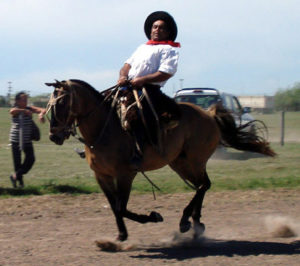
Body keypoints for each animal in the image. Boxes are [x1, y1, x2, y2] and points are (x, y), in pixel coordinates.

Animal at [45, 79, 276, 241]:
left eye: (63, 101)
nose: (54, 135)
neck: (105, 129)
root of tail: (209, 114)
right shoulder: (101, 176)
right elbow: (114, 207)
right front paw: (121, 235)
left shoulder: (125, 175)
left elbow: (121, 207)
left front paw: (153, 216)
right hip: (180, 163)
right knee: (203, 185)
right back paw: (196, 224)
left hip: (194, 161)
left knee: (203, 185)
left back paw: (185, 221)